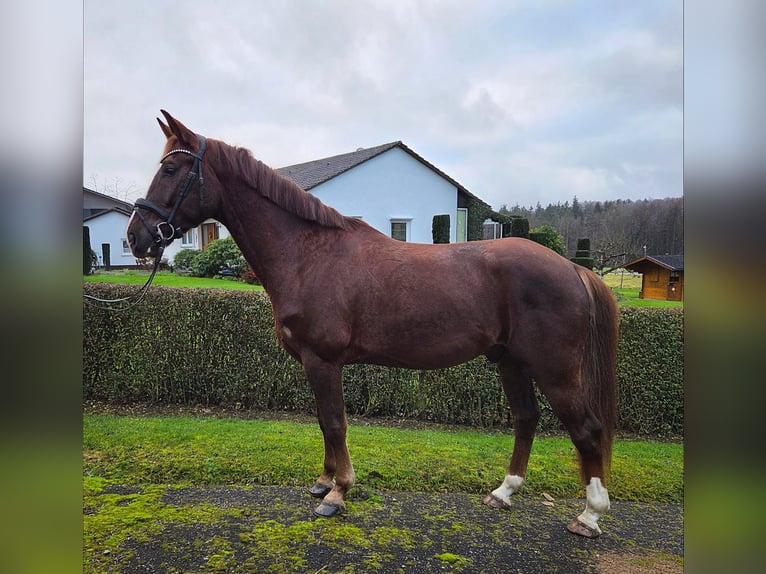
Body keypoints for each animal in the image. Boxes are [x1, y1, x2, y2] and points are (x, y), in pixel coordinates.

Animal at [127, 111, 619, 538]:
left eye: (171, 168)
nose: (136, 236)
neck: (309, 254)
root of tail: (572, 268)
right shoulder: (314, 364)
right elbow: (323, 421)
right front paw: (324, 482)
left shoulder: (323, 360)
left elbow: (334, 422)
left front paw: (338, 493)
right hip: (510, 361)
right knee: (526, 418)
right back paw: (503, 492)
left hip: (554, 369)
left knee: (586, 429)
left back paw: (590, 516)